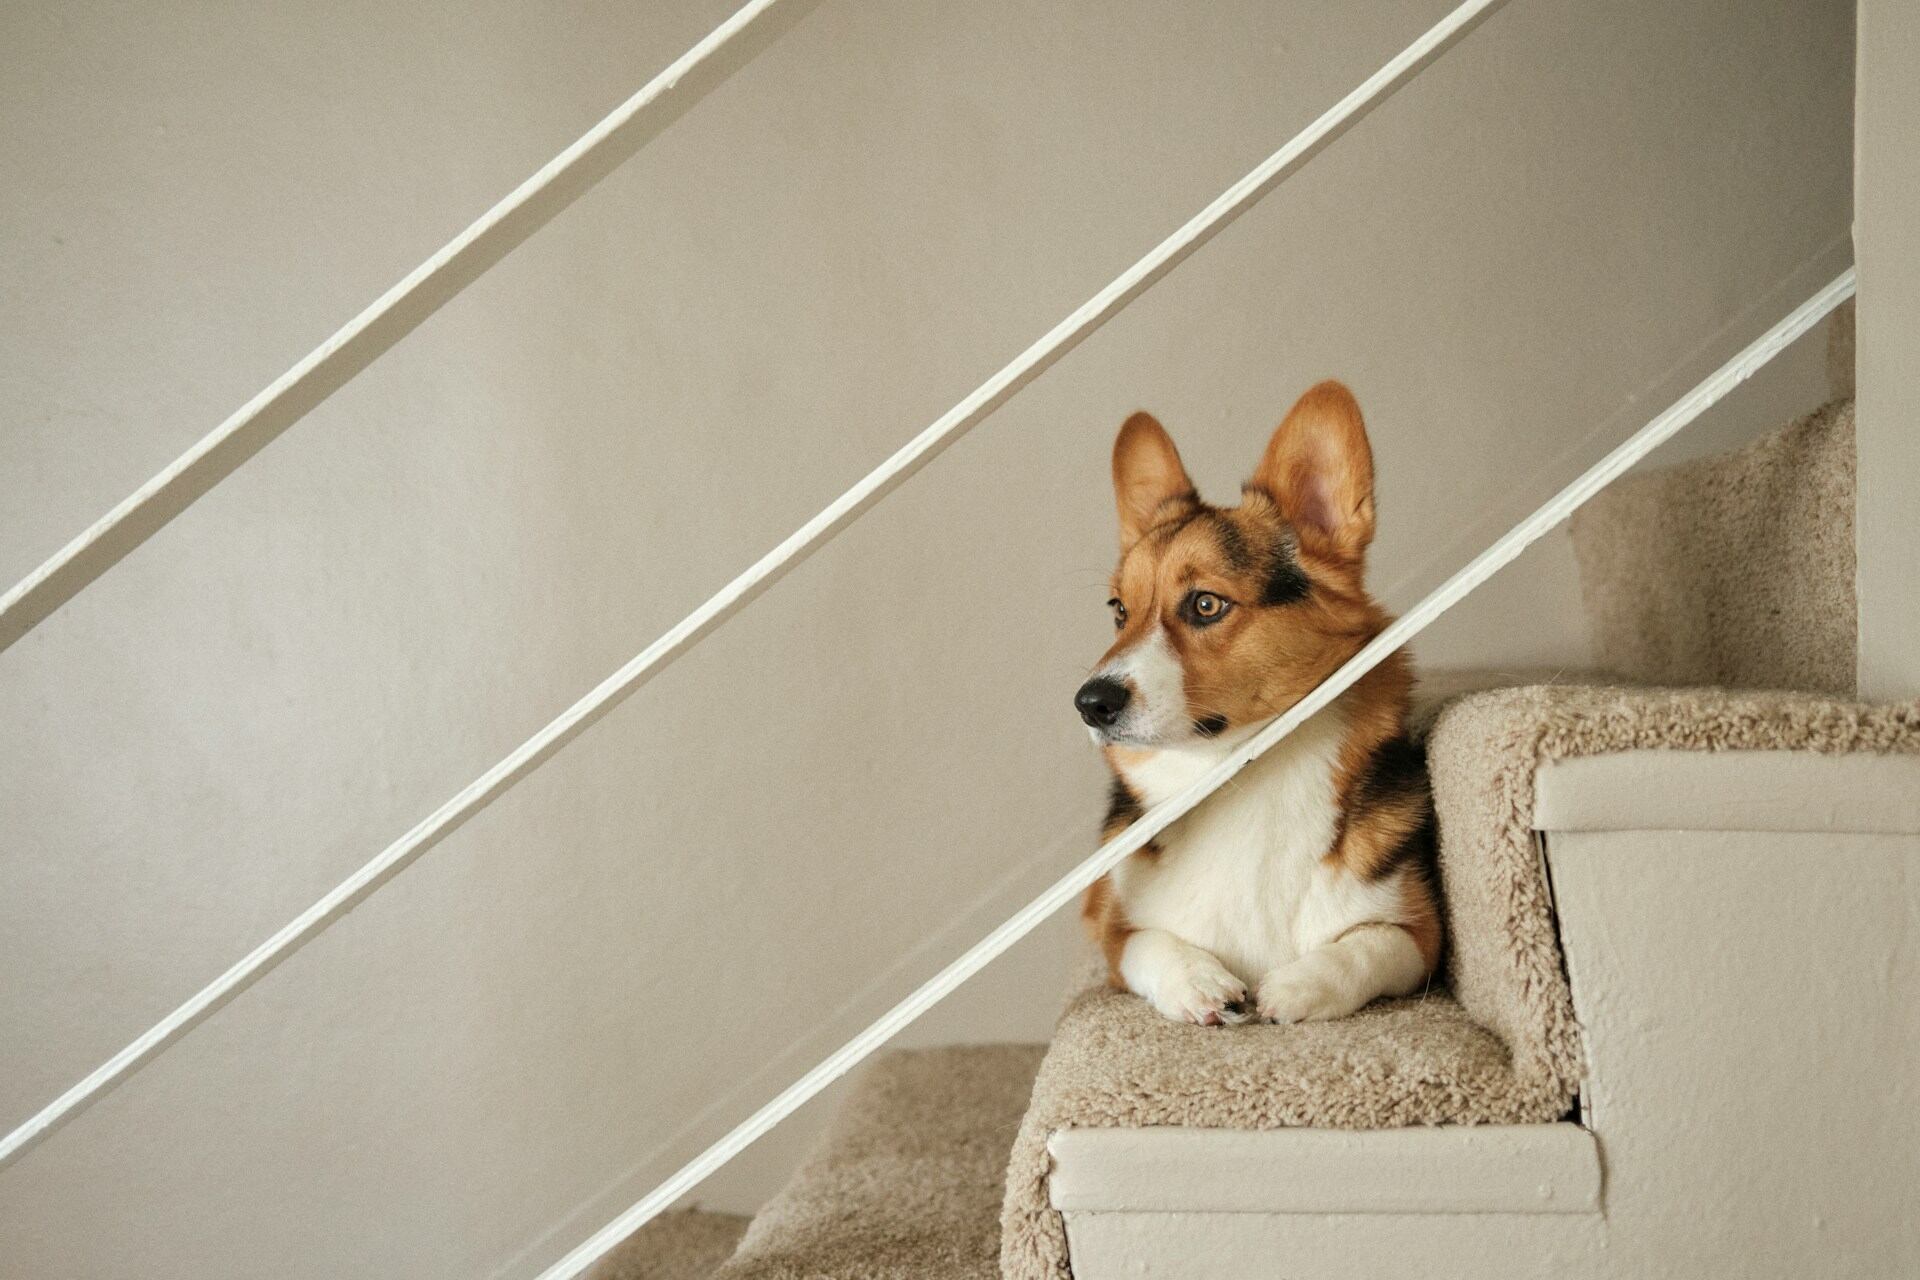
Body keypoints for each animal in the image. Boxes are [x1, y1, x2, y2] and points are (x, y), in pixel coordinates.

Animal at [1075, 383, 1436, 1028]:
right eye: (1119, 611)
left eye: (1206, 605)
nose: (1089, 703)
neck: (1235, 776)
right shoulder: (1112, 937)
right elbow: (1149, 944)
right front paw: (1198, 982)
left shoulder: (1422, 936)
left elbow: (1368, 945)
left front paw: (1298, 986)